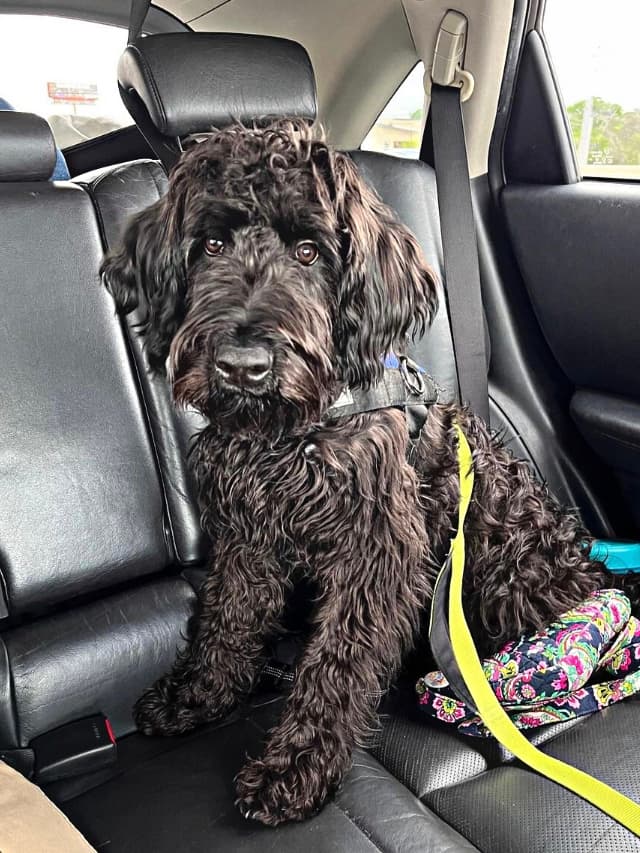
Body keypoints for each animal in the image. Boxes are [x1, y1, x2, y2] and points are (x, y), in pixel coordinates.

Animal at [101, 120, 624, 824]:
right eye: (211, 243)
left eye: (309, 252)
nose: (243, 366)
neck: (294, 432)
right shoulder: (247, 536)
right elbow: (227, 619)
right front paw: (200, 696)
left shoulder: (376, 549)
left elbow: (339, 659)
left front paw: (297, 766)